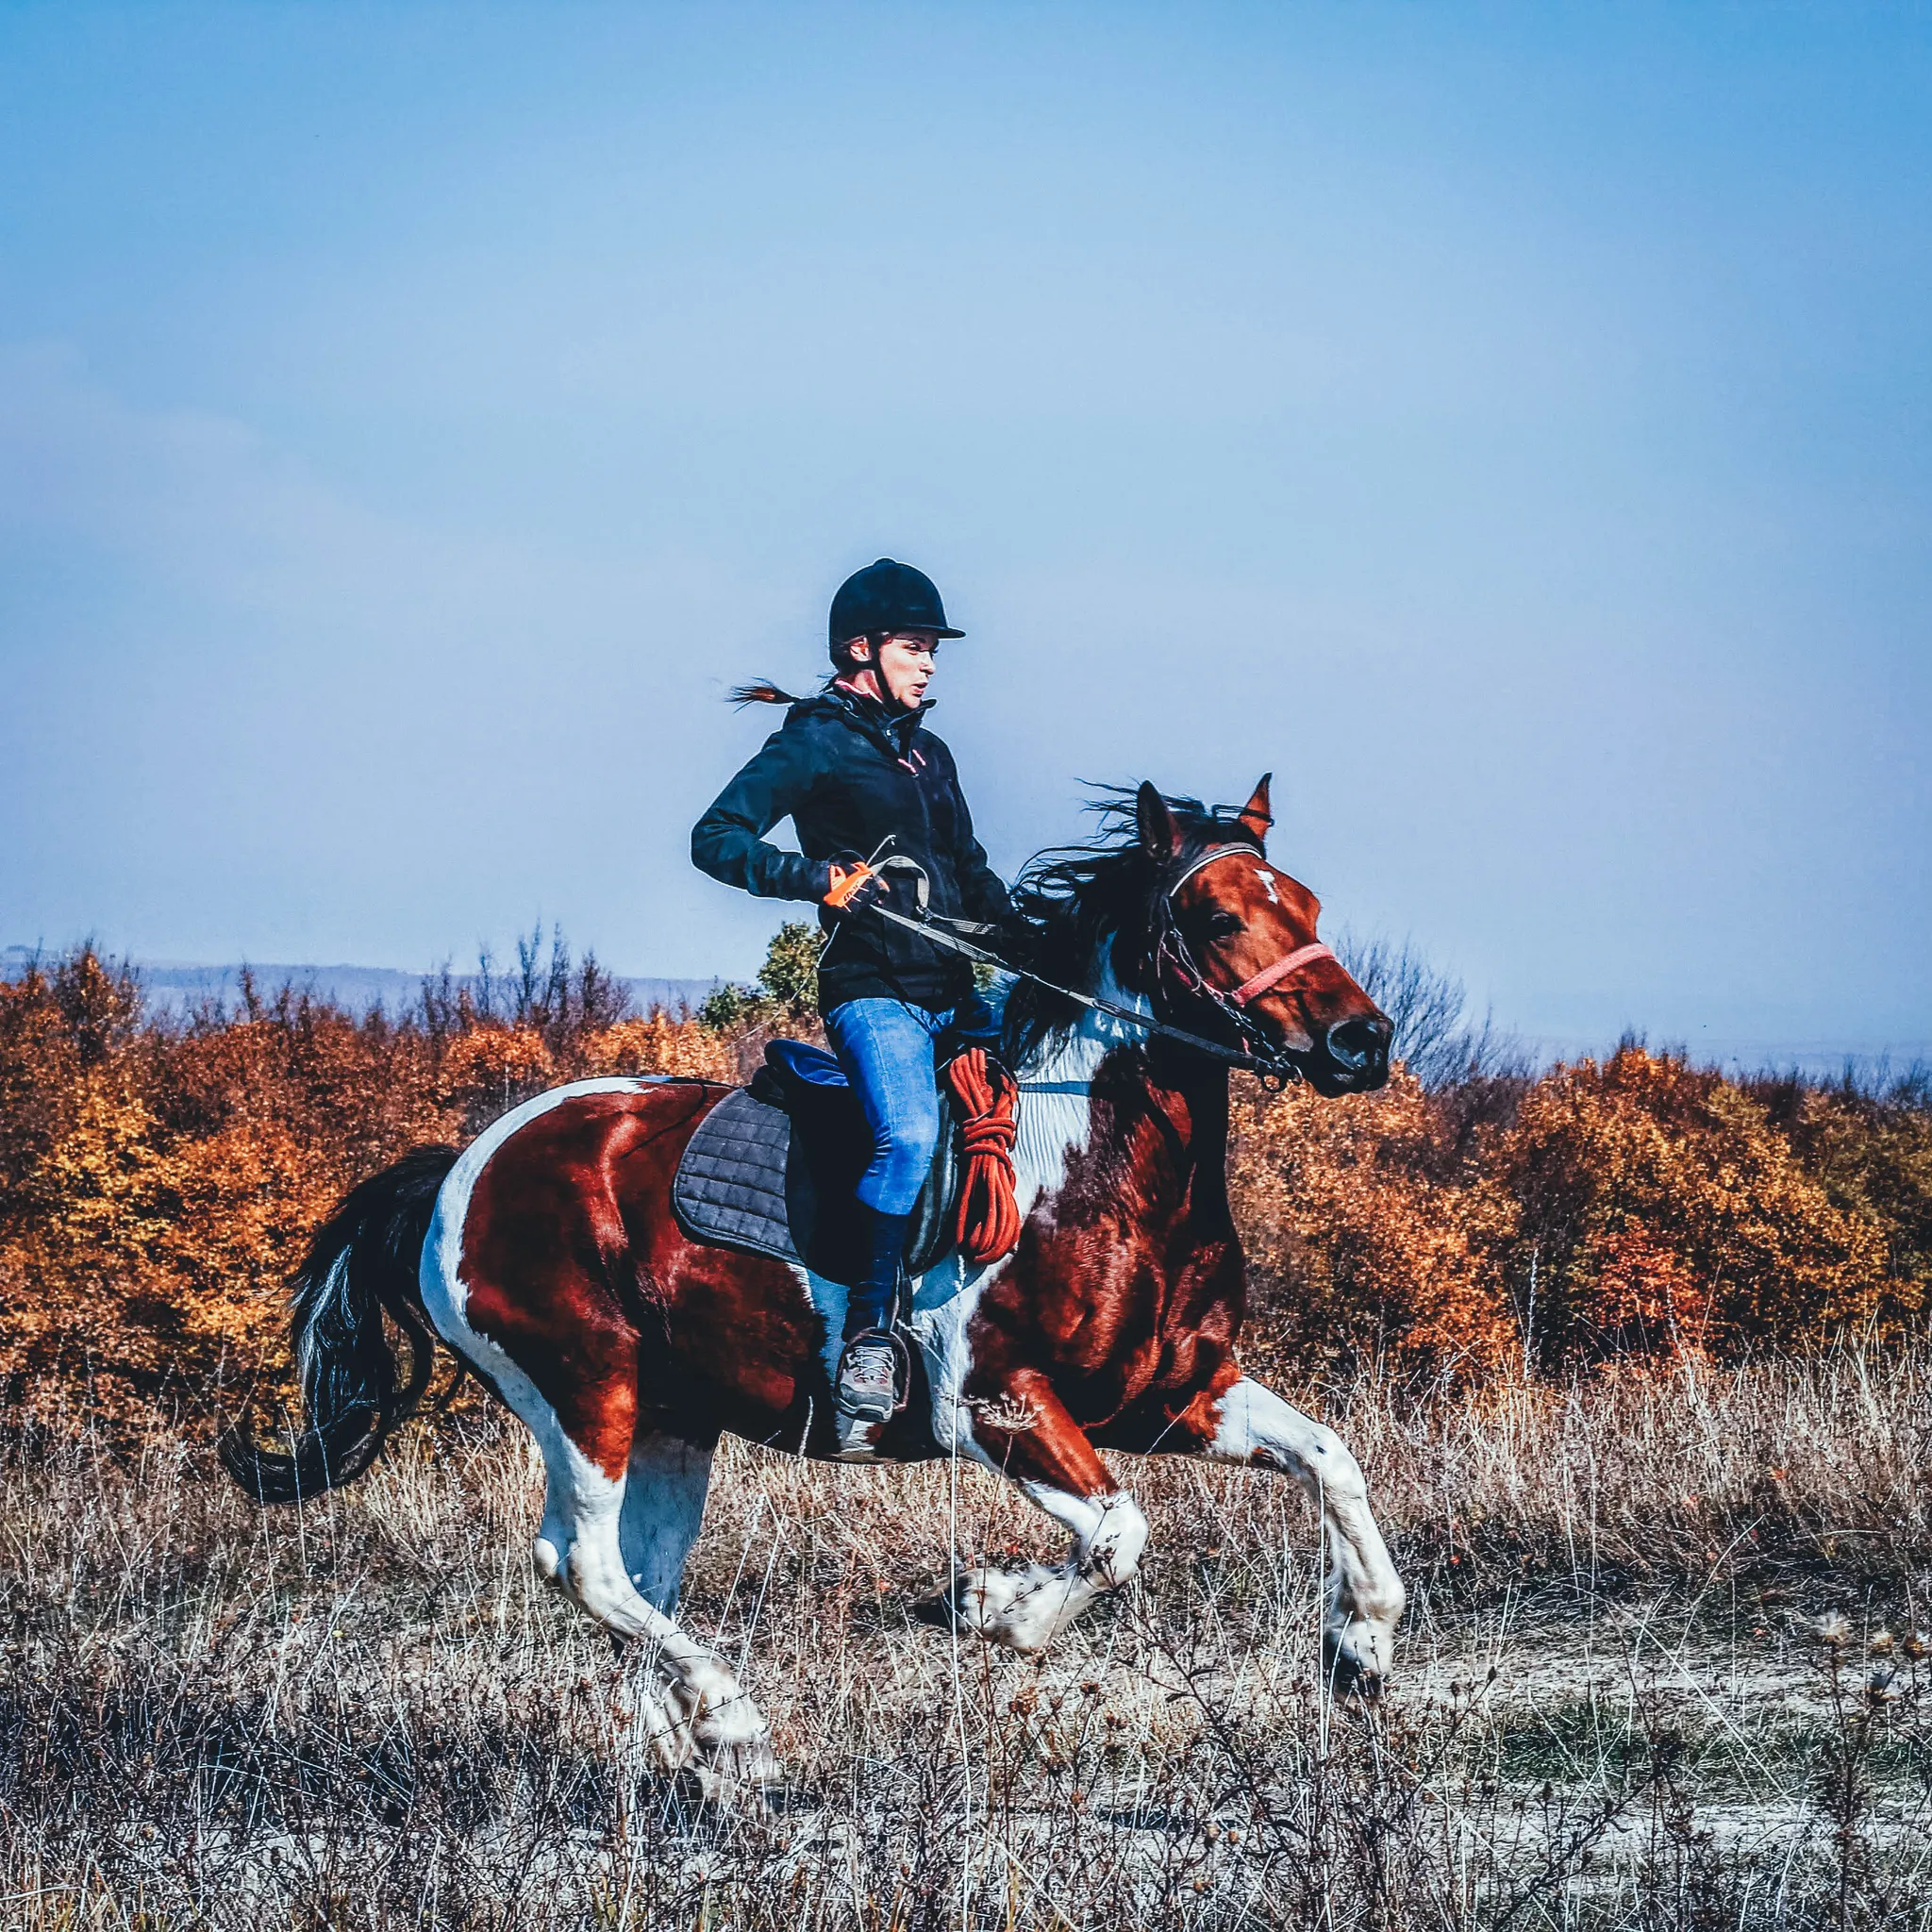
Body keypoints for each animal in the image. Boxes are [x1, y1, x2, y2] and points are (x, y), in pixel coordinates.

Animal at [222, 776, 1406, 1782]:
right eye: (1215, 916)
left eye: (1303, 901)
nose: (1361, 1040)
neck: (1093, 1161)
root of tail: (463, 1165)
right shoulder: (996, 1403)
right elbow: (1118, 1536)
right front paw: (987, 1605)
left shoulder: (1172, 1392)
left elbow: (1328, 1458)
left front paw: (1360, 1644)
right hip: (580, 1386)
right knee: (583, 1561)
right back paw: (733, 1721)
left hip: (672, 1419)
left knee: (638, 1574)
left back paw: (690, 1753)